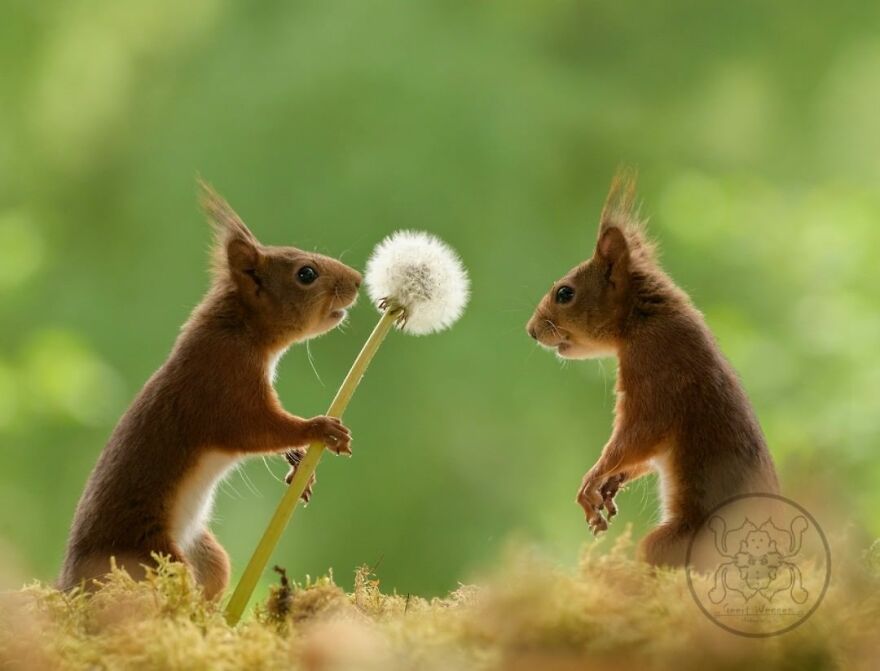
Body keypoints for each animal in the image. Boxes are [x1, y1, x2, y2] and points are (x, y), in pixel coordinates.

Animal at [59, 182, 361, 598]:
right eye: (306, 273)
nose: (359, 280)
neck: (239, 329)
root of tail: (70, 581)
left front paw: (299, 464)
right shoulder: (223, 386)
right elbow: (258, 430)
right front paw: (320, 429)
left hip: (206, 556)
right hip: (154, 558)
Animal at [526, 170, 779, 567]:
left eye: (564, 293)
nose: (531, 330)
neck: (643, 319)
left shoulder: (656, 376)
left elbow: (637, 436)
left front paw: (593, 480)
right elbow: (642, 456)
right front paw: (610, 485)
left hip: (672, 543)